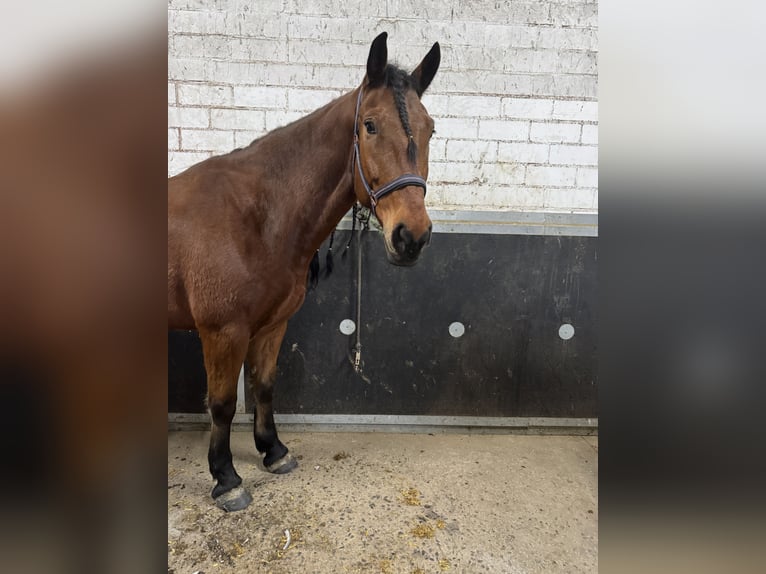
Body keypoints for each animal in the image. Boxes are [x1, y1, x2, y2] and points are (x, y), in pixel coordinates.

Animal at [168, 32, 441, 511]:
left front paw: (273, 451)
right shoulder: (222, 332)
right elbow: (222, 403)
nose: (411, 237)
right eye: (370, 125)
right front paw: (226, 478)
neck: (256, 217)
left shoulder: (273, 324)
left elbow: (265, 385)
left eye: (430, 129)